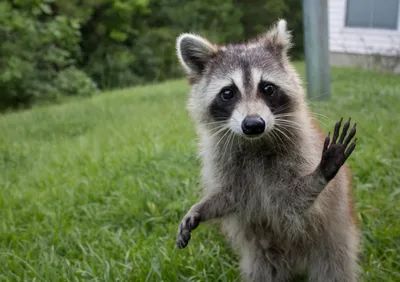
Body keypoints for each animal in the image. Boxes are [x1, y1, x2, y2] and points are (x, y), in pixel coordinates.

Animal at [175, 18, 360, 280]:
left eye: (268, 88)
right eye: (228, 93)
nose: (253, 124)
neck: (255, 144)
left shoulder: (299, 153)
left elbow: (295, 201)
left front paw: (319, 174)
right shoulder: (226, 163)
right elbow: (230, 196)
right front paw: (202, 208)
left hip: (333, 242)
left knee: (334, 269)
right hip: (262, 258)